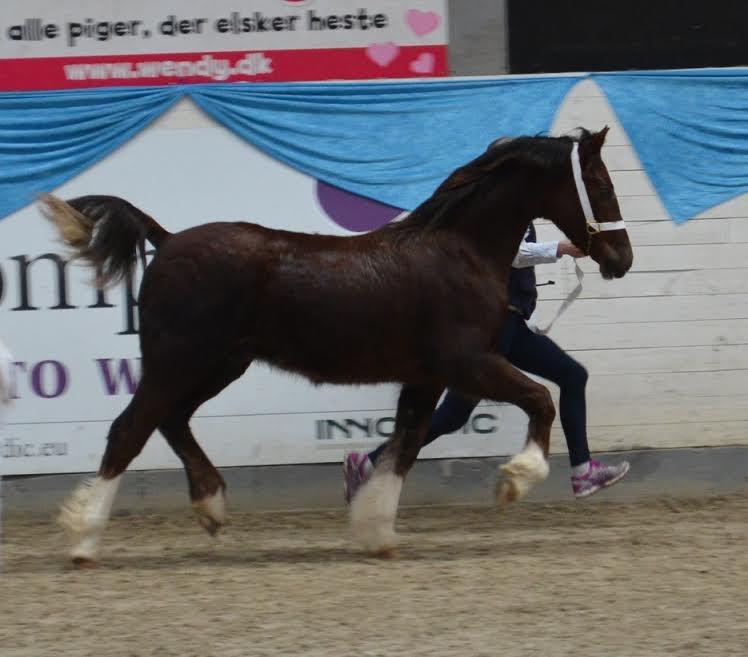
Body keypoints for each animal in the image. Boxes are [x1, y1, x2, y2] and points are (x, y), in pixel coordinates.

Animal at [36, 127, 632, 564]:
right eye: (600, 183)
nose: (620, 259)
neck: (458, 253)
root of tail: (169, 239)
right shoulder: (469, 364)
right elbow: (540, 400)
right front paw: (514, 480)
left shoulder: (427, 377)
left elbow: (405, 446)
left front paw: (376, 531)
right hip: (178, 360)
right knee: (130, 430)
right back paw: (84, 539)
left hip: (220, 364)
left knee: (171, 420)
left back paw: (211, 507)